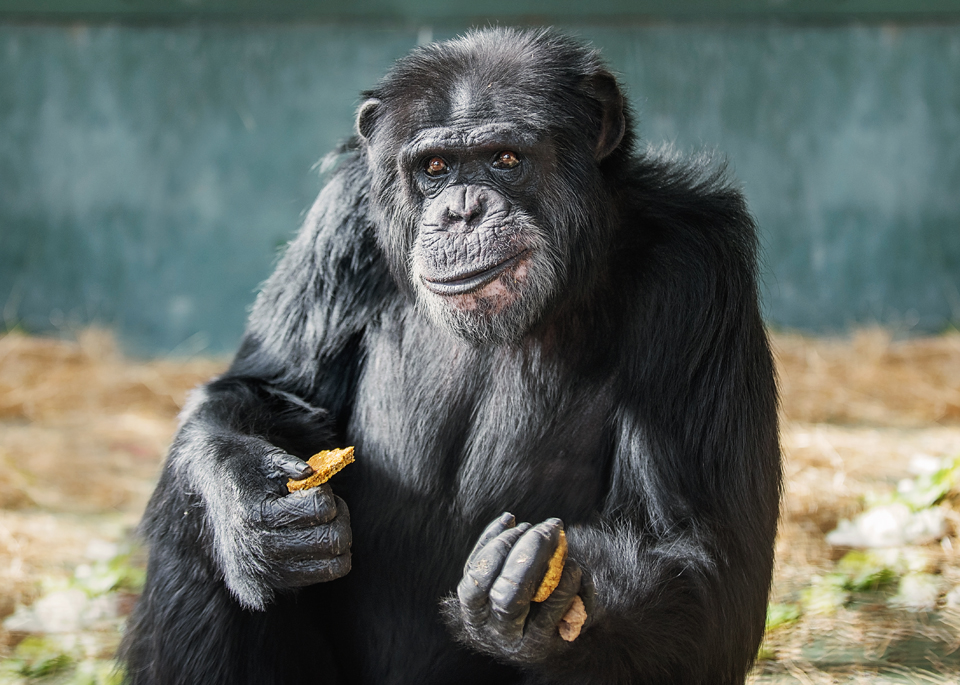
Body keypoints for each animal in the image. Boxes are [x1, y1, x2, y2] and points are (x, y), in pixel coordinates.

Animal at [120, 26, 780, 684]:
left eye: (505, 159)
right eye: (435, 167)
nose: (463, 210)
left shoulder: (698, 270)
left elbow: (703, 554)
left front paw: (540, 590)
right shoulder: (343, 217)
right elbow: (271, 387)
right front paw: (250, 506)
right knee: (189, 518)